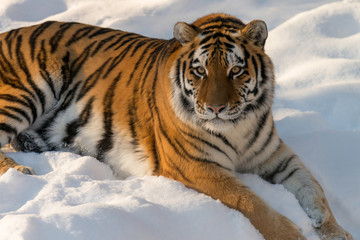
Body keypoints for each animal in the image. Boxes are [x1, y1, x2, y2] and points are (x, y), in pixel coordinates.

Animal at [0, 13, 352, 240]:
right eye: (200, 71)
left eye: (236, 71)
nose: (215, 108)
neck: (237, 127)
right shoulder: (195, 165)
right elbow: (252, 204)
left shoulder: (276, 157)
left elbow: (315, 192)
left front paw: (337, 232)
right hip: (27, 89)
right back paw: (22, 170)